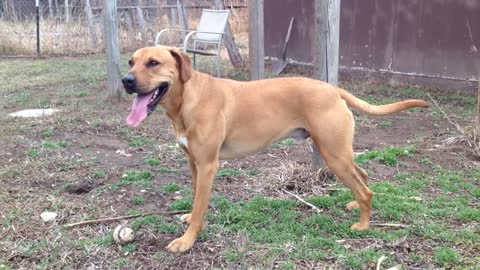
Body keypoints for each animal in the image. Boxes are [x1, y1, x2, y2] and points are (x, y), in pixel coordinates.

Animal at [121, 47, 428, 253]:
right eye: (131, 62)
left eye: (153, 63)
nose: (126, 80)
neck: (187, 99)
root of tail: (333, 89)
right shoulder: (194, 163)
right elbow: (197, 197)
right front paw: (191, 220)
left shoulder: (208, 165)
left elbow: (199, 207)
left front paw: (187, 240)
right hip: (339, 152)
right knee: (363, 177)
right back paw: (355, 205)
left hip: (334, 155)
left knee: (365, 189)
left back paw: (363, 225)